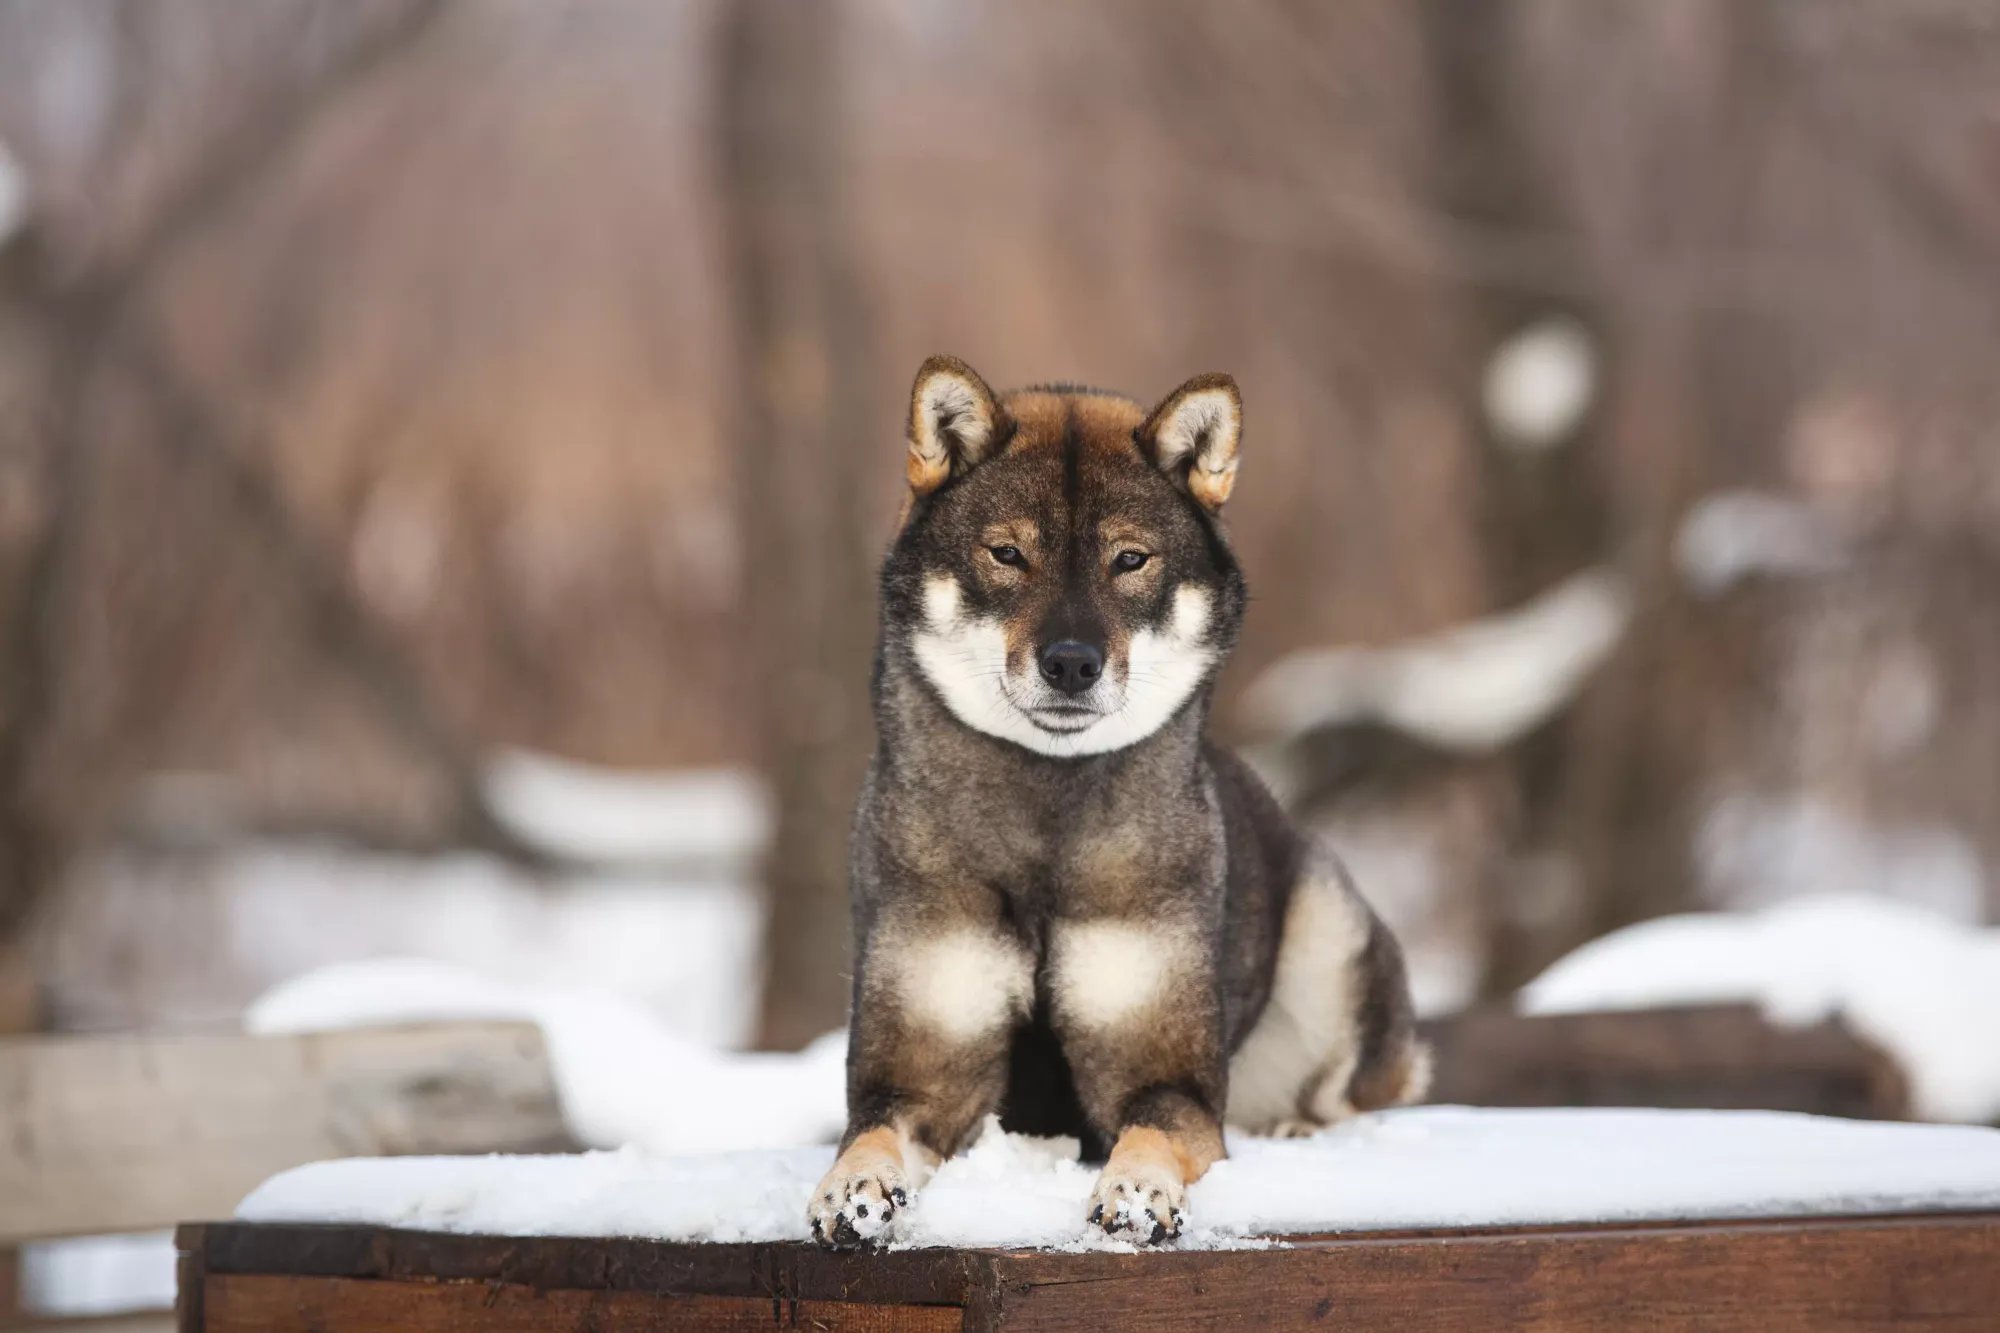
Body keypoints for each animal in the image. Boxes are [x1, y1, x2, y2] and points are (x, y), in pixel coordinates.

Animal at [804, 356, 1432, 1248]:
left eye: (1130, 560)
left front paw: (1135, 1190)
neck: (1046, 821)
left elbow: (1151, 1131)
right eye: (1007, 553)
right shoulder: (916, 1073)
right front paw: (852, 1190)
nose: (1072, 662)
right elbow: (871, 1132)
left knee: (1360, 1091)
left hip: (1329, 933)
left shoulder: (1167, 1076)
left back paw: (1298, 1127)